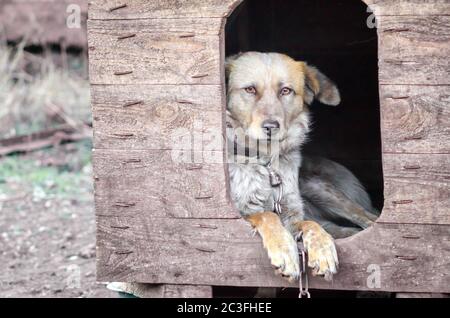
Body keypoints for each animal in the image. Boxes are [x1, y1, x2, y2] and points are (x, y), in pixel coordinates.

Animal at [227, 52, 378, 284]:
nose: (271, 127)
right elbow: (267, 215)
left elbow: (310, 225)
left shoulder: (293, 213)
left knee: (366, 220)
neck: (267, 163)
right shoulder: (242, 212)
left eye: (286, 90)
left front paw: (323, 251)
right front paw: (284, 250)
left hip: (319, 188)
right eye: (250, 89)